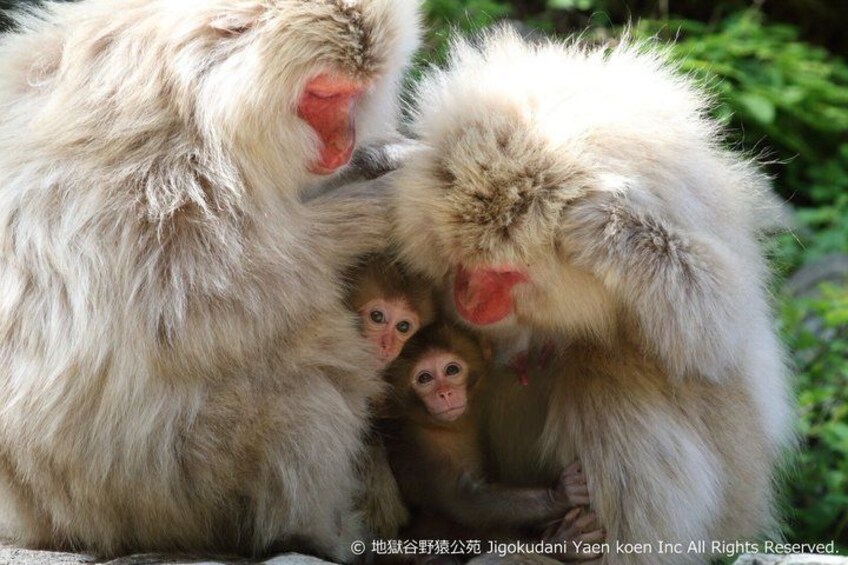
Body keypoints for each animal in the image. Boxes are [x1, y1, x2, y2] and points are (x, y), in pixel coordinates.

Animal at [0, 0, 421, 560]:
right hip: (155, 482)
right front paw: (382, 203)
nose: (344, 142)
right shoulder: (161, 166)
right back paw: (315, 533)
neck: (198, 99)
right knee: (305, 369)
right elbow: (195, 308)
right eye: (322, 94)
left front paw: (380, 159)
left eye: (356, 94)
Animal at [381, 322, 605, 561]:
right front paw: (560, 495)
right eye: (424, 378)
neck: (440, 426)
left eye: (451, 370)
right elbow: (461, 500)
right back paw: (557, 544)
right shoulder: (420, 445)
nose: (445, 393)